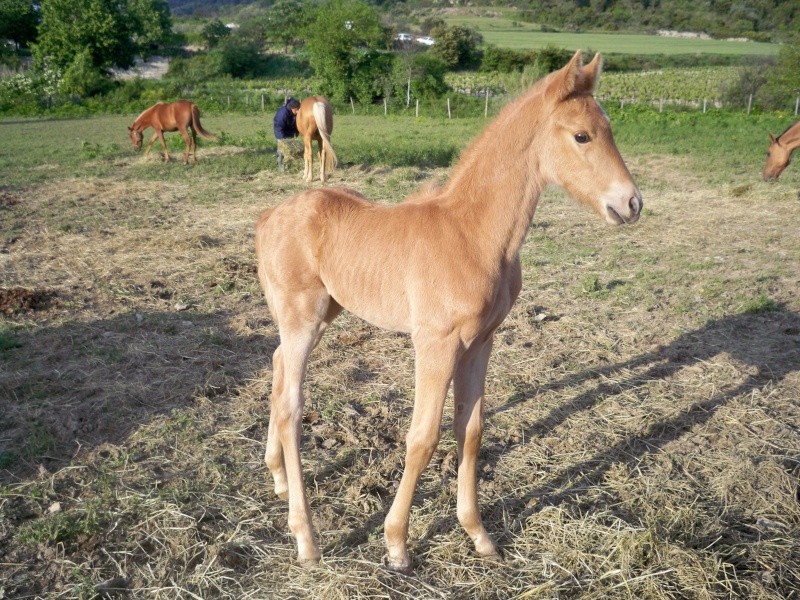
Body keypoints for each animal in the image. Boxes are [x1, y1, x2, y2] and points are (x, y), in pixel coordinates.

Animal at [256, 50, 644, 572]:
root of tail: (268, 217)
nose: (631, 203)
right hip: (302, 319)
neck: (473, 234)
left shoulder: (481, 341)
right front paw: (397, 543)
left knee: (278, 372)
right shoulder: (435, 344)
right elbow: (422, 438)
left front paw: (478, 534)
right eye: (582, 135)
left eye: (609, 128)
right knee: (291, 407)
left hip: (318, 317)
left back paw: (277, 478)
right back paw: (306, 539)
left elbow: (471, 430)